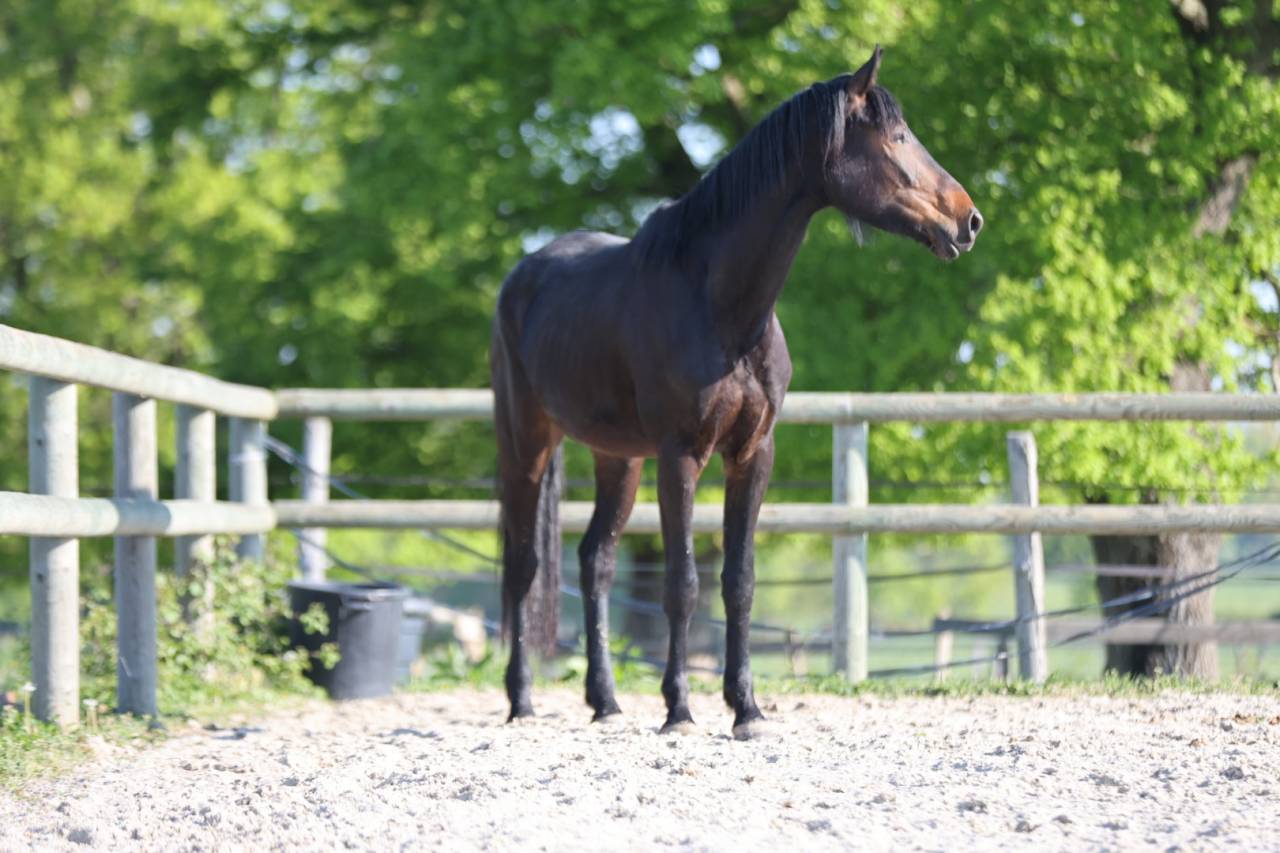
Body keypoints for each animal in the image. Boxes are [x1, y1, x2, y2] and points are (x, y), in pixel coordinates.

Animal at [490, 46, 981, 737]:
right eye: (898, 138)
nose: (969, 219)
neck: (721, 307)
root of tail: (522, 274)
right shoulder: (681, 456)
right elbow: (683, 584)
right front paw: (679, 709)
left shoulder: (753, 454)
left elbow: (740, 581)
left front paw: (746, 707)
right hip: (526, 444)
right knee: (523, 566)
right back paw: (522, 700)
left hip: (618, 456)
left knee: (596, 560)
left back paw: (606, 701)